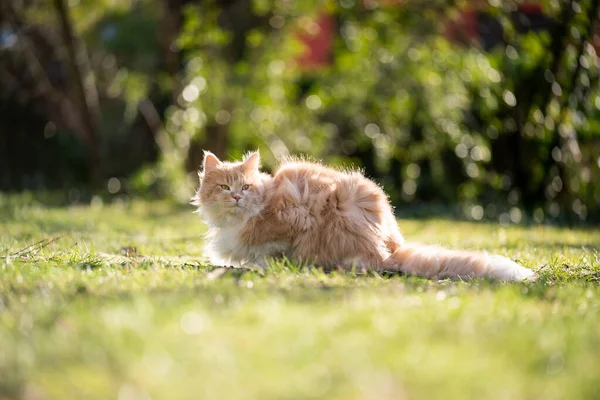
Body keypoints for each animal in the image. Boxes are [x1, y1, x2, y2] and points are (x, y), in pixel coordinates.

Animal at [195, 151, 536, 282]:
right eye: (225, 187)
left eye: (246, 187)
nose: (237, 197)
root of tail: (390, 249)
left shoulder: (292, 222)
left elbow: (270, 252)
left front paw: (256, 264)